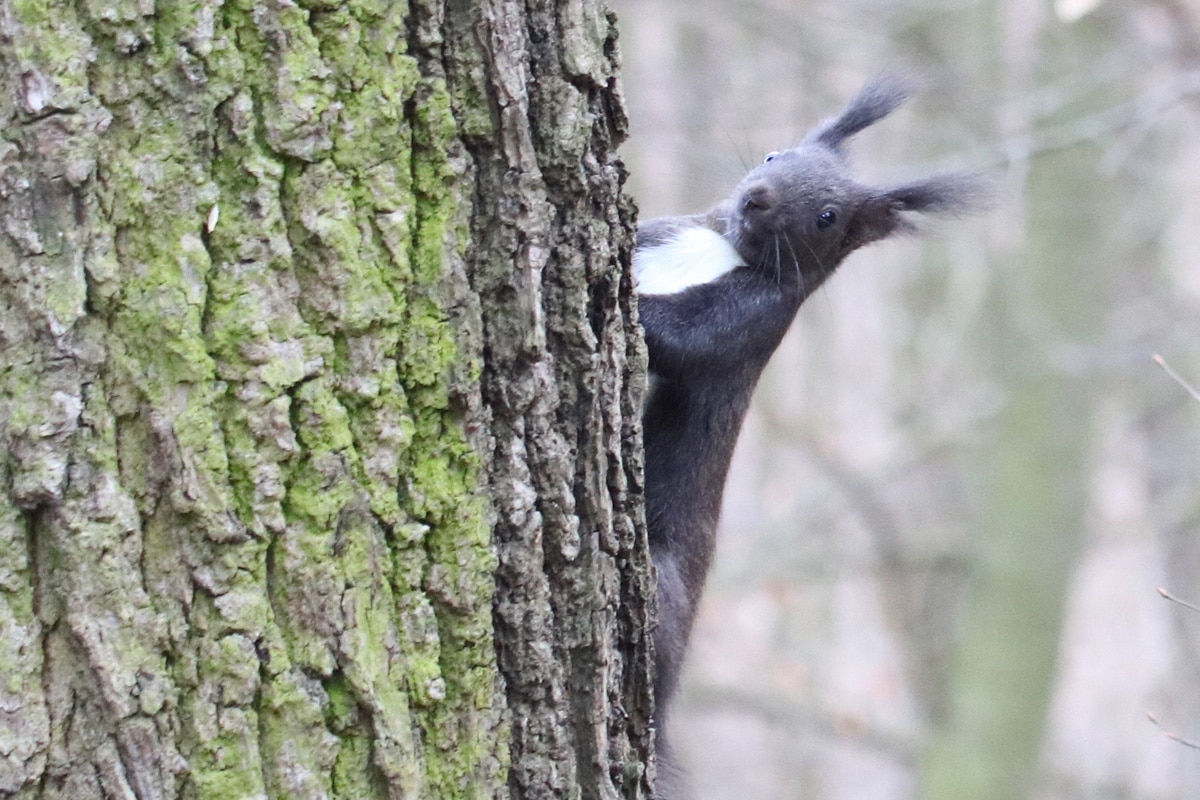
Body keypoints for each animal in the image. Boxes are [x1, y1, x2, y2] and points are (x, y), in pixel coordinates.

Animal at [633, 71, 988, 796]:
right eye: (774, 154)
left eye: (826, 216)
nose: (757, 197)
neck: (717, 246)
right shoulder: (665, 231)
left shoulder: (747, 322)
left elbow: (679, 341)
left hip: (663, 588)